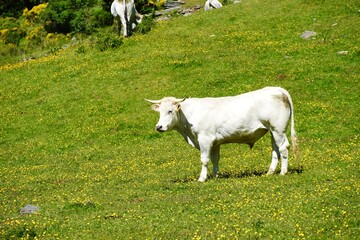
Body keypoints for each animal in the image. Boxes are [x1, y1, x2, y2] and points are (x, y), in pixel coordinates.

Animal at [146, 86, 298, 182]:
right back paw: (270, 172)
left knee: (283, 147)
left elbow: (204, 160)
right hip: (272, 130)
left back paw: (283, 172)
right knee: (275, 149)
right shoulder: (215, 142)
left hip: (278, 129)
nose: (159, 127)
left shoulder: (205, 139)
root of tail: (276, 89)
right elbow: (215, 159)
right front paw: (215, 176)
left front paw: (202, 178)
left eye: (170, 111)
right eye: (160, 112)